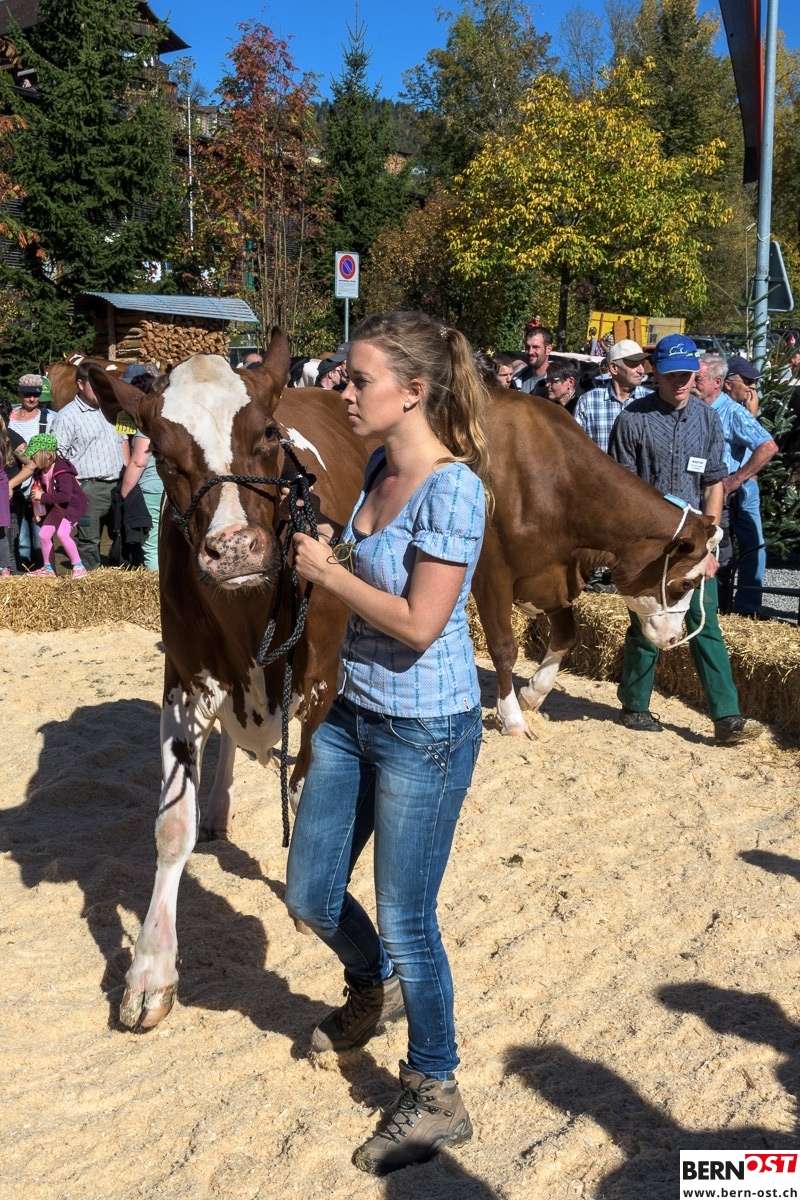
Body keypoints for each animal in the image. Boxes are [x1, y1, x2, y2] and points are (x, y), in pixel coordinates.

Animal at [87, 330, 369, 1030]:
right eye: (160, 452)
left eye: (267, 431)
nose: (235, 547)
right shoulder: (184, 682)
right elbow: (170, 829)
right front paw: (150, 972)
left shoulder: (322, 683)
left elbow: (307, 787)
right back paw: (218, 806)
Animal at [474, 390, 722, 737]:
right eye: (686, 582)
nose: (674, 639)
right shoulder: (491, 574)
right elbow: (504, 647)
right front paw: (512, 717)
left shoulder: (554, 574)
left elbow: (566, 636)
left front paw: (533, 694)